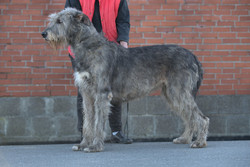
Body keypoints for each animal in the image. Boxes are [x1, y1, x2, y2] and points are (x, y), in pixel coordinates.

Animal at [42, 8, 209, 153]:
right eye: (53, 19)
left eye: (59, 21)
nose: (43, 33)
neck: (89, 45)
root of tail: (193, 56)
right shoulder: (87, 94)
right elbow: (88, 122)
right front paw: (83, 144)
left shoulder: (102, 93)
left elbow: (97, 122)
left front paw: (95, 146)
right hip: (171, 94)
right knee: (189, 116)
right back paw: (185, 138)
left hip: (178, 91)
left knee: (202, 118)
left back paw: (199, 142)